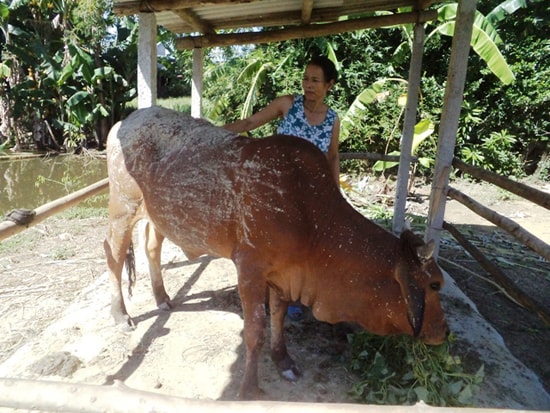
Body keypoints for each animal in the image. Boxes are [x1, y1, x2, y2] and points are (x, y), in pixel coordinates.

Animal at [103, 106, 448, 400]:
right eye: (434, 285)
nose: (444, 331)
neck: (309, 216)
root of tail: (125, 121)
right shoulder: (250, 269)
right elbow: (254, 329)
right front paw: (248, 388)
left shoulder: (283, 274)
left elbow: (279, 317)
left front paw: (283, 360)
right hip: (122, 208)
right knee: (114, 256)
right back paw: (121, 315)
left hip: (157, 214)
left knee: (151, 246)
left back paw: (162, 297)